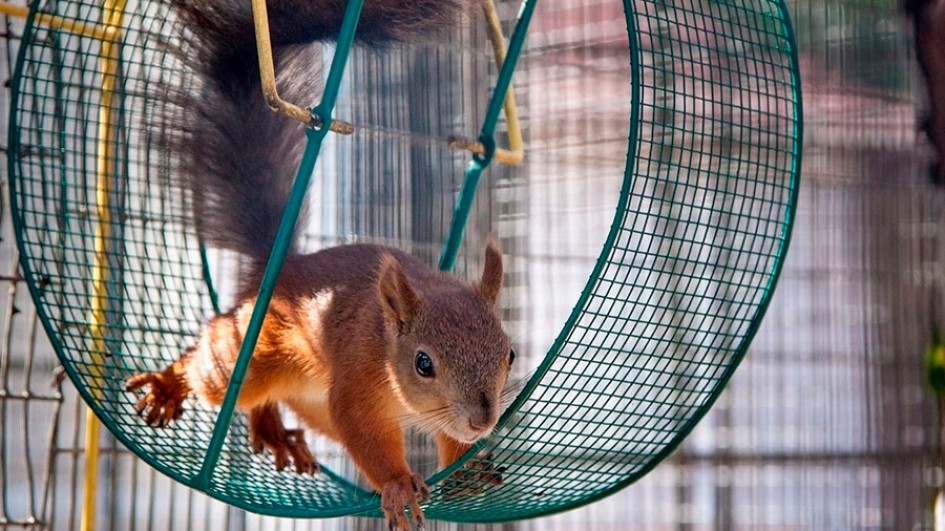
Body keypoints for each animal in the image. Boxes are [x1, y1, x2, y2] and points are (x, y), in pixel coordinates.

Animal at [126, 2, 512, 528]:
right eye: (423, 363)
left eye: (509, 354)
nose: (482, 420)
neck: (387, 341)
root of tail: (281, 269)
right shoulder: (357, 381)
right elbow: (364, 433)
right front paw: (397, 484)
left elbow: (450, 439)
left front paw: (467, 469)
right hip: (255, 352)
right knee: (213, 360)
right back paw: (170, 384)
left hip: (310, 400)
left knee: (270, 399)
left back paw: (270, 427)